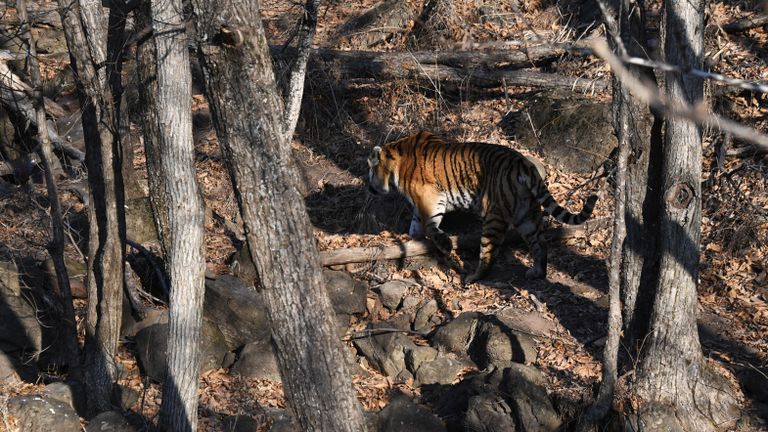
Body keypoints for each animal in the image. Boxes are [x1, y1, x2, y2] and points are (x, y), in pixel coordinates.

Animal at [367, 131, 598, 282]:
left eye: (370, 171)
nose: (369, 188)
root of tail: (522, 163)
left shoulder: (430, 197)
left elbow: (430, 225)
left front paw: (444, 244)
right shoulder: (421, 201)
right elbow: (416, 223)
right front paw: (414, 238)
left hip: (493, 215)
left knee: (489, 253)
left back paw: (473, 277)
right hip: (527, 215)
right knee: (540, 244)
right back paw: (537, 273)